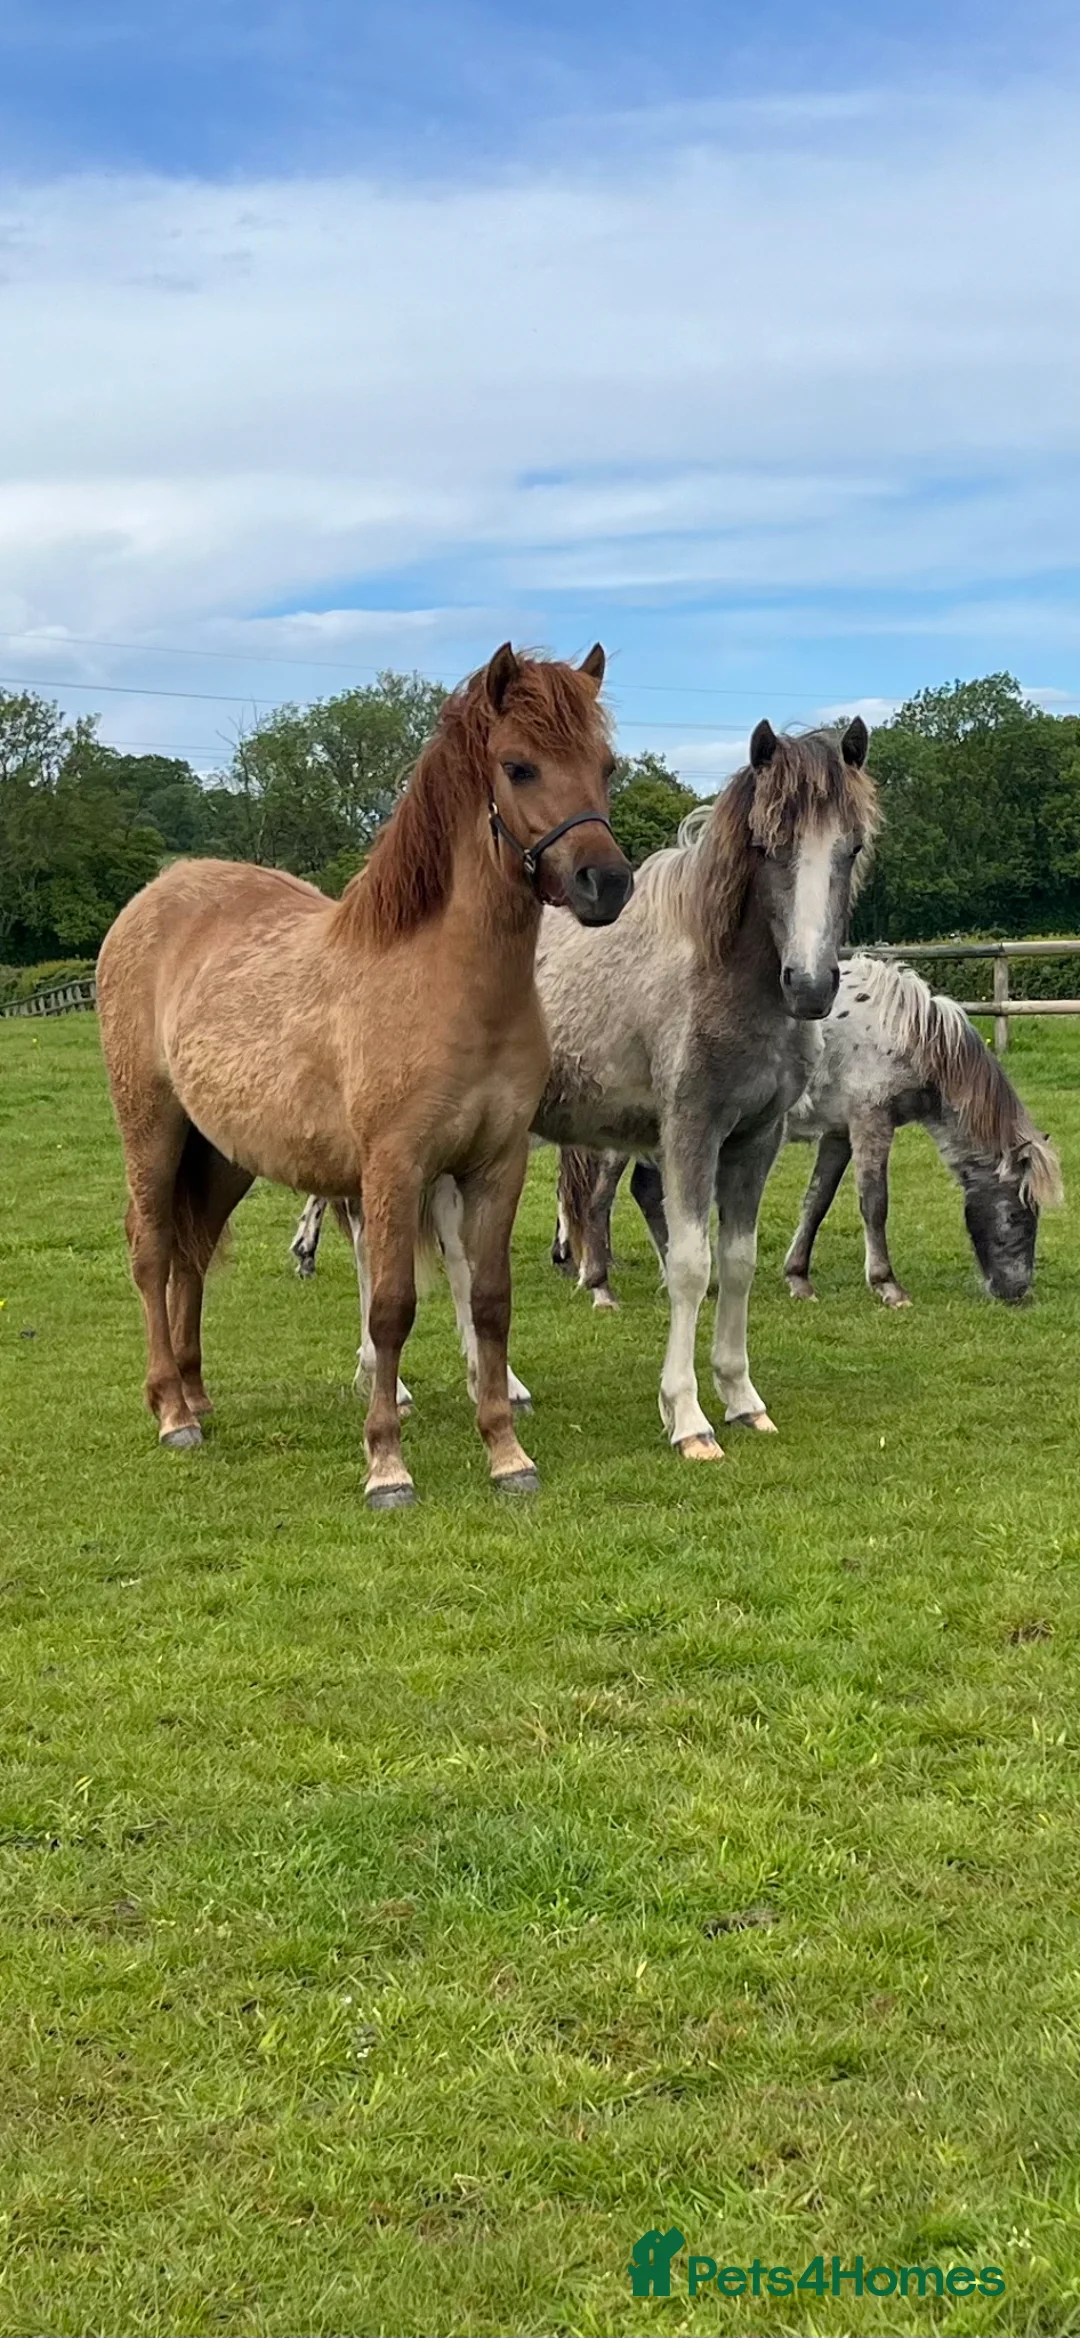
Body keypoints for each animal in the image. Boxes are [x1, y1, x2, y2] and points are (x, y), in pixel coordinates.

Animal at [96, 643, 633, 1509]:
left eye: (606, 766)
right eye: (518, 766)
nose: (606, 884)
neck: (444, 983)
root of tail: (154, 897)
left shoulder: (496, 1165)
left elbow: (489, 1304)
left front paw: (506, 1453)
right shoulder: (392, 1168)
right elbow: (390, 1311)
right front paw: (387, 1464)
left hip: (222, 1157)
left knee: (191, 1253)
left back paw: (196, 1394)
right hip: (151, 1132)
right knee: (151, 1251)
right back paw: (172, 1413)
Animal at [292, 720, 878, 1460]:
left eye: (851, 847)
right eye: (769, 845)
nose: (809, 985)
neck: (718, 972)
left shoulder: (755, 1138)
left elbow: (738, 1263)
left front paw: (743, 1399)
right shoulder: (689, 1131)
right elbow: (692, 1265)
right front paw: (688, 1417)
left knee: (455, 1249)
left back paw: (498, 1383)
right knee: (370, 1242)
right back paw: (387, 1383)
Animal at [551, 953, 1063, 1309]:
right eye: (1019, 1214)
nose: (1017, 1290)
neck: (905, 1031)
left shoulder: (839, 1133)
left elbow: (817, 1202)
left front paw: (799, 1279)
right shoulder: (870, 1122)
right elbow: (874, 1203)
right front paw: (888, 1286)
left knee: (646, 1193)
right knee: (598, 1201)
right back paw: (600, 1288)